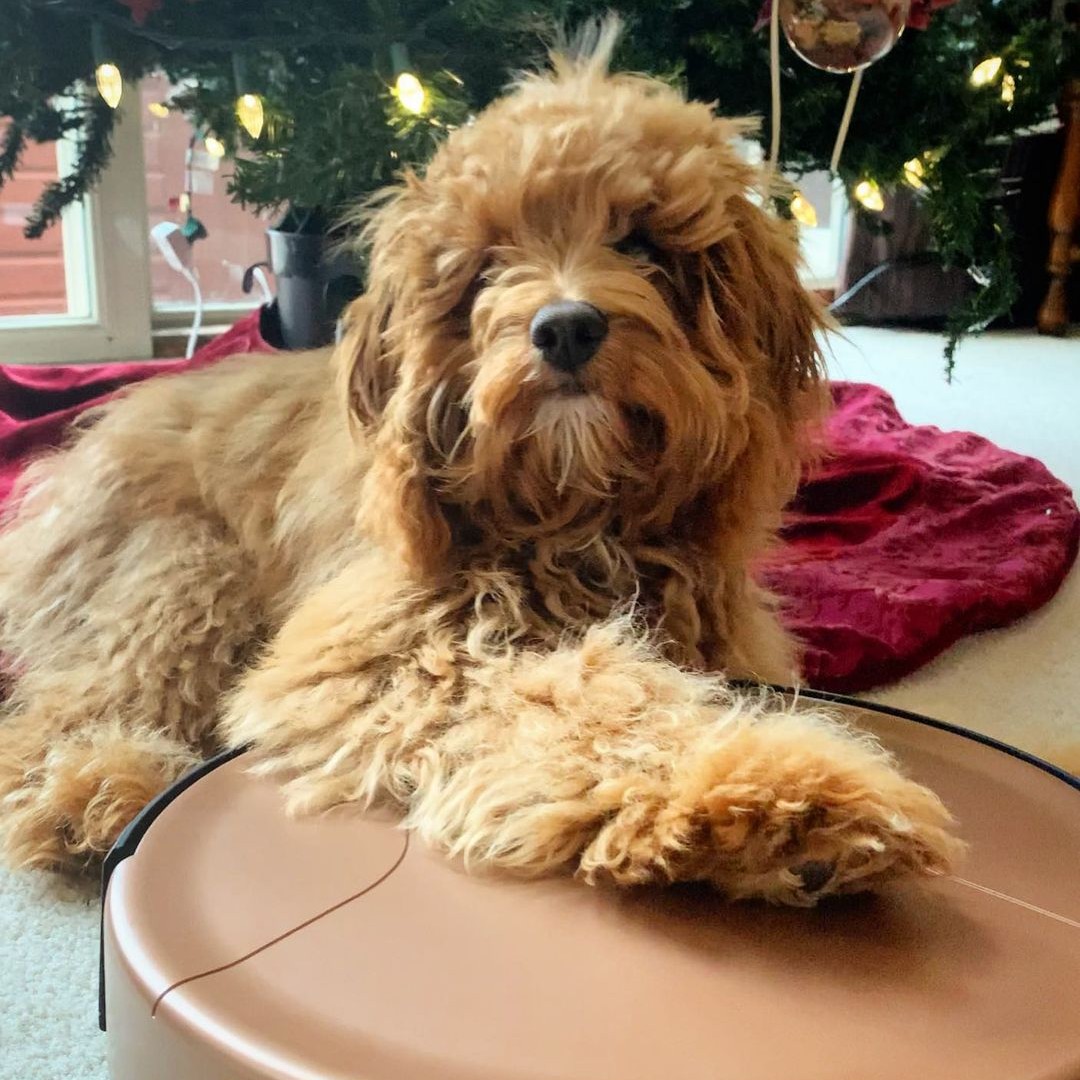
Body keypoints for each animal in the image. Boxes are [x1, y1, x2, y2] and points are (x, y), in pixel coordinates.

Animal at [0, 27, 963, 902]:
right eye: (490, 263)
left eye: (642, 244)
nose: (566, 328)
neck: (580, 520)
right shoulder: (392, 644)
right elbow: (572, 697)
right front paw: (772, 797)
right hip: (180, 575)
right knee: (73, 705)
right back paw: (96, 790)